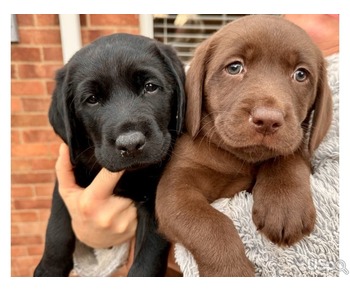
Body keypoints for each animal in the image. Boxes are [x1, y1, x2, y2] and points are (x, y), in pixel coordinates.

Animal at [33, 33, 186, 276]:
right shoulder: (68, 173)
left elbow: (146, 260)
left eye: (150, 87)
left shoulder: (156, 204)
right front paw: (49, 269)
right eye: (92, 99)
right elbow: (57, 224)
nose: (130, 144)